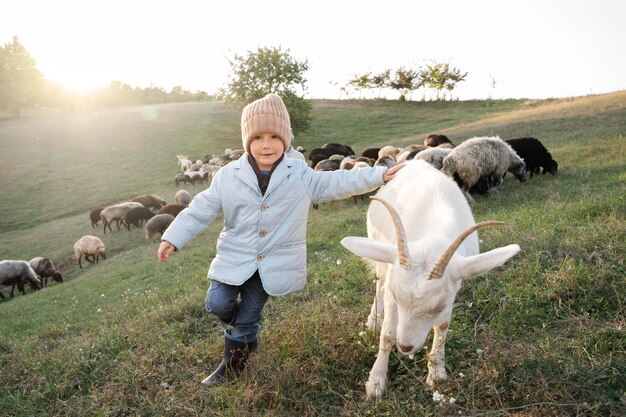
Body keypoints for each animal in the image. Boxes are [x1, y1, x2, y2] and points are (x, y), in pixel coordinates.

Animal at [338, 159, 520, 396]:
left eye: (438, 307)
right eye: (397, 298)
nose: (405, 347)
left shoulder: (452, 290)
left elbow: (442, 328)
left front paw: (436, 372)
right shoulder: (392, 286)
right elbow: (387, 333)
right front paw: (376, 382)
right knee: (378, 286)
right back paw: (373, 320)